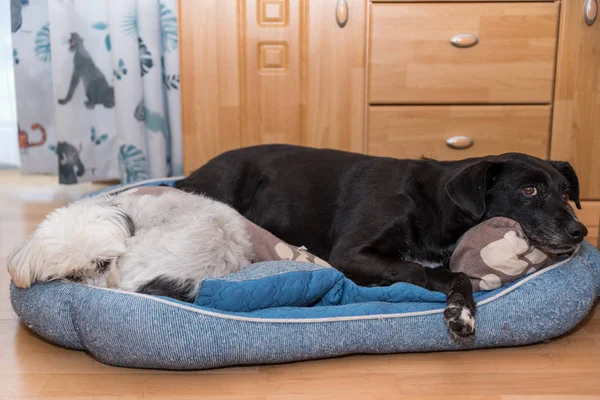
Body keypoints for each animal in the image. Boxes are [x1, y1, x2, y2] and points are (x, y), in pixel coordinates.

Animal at [175, 144, 584, 338]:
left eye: (566, 194)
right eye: (530, 190)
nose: (580, 232)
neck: (433, 206)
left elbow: (451, 273)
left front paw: (461, 308)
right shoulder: (350, 254)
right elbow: (426, 272)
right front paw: (458, 307)